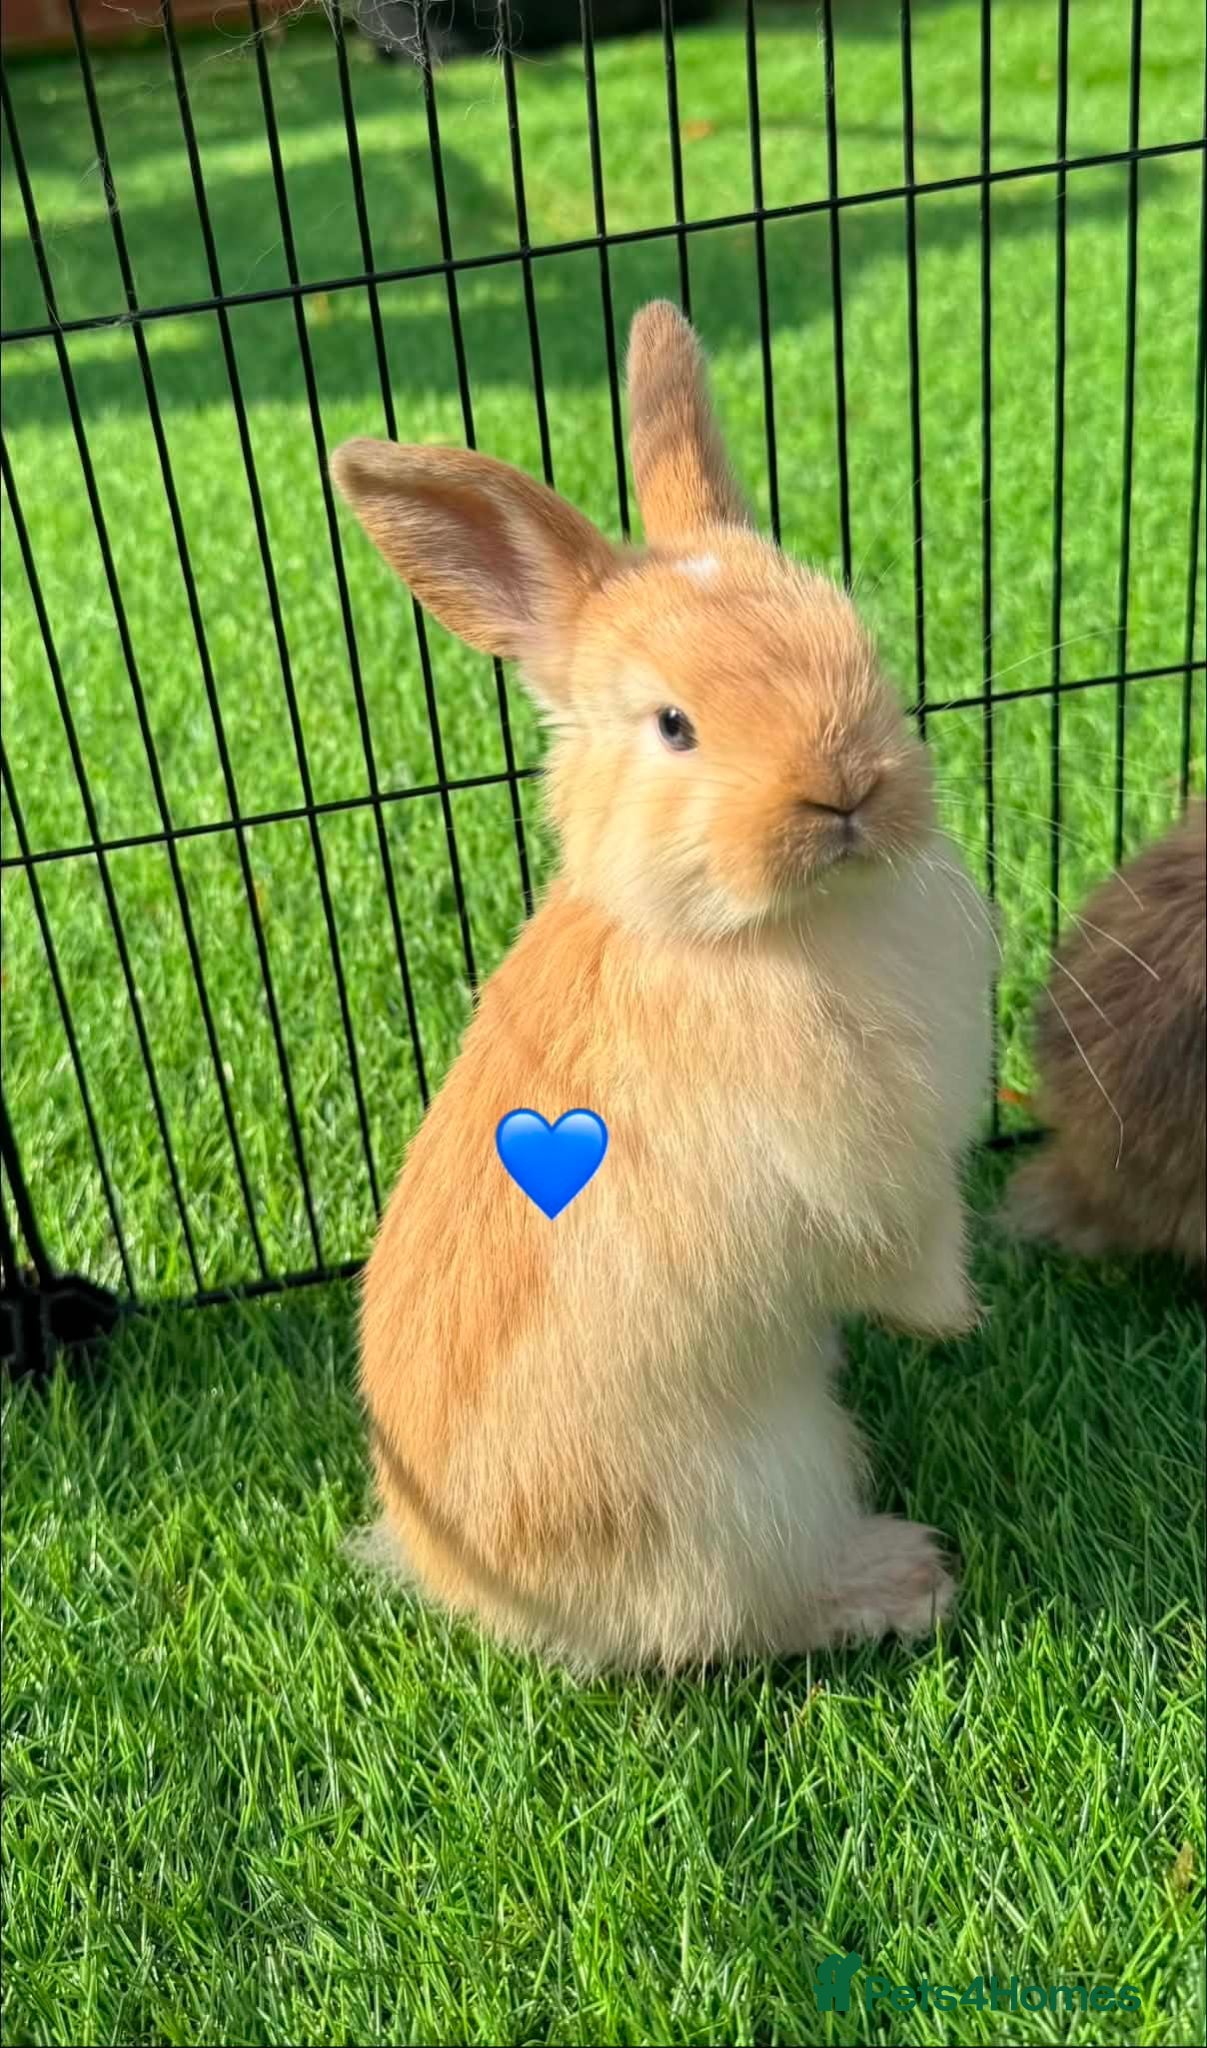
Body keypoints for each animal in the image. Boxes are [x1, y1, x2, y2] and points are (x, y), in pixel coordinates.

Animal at [331, 300, 994, 1673]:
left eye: (858, 642)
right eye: (675, 725)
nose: (845, 787)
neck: (742, 932)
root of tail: (468, 1587)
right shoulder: (870, 1169)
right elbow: (909, 1256)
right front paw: (950, 1320)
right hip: (764, 1477)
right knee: (738, 1616)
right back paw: (898, 1577)